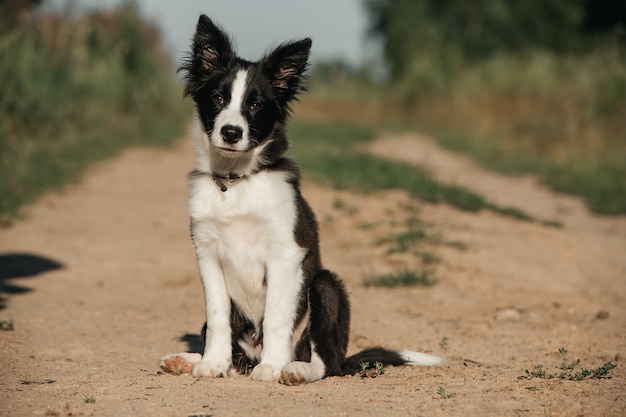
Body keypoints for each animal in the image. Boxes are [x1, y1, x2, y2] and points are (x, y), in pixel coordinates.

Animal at [158, 14, 442, 386]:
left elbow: (277, 316)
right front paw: (211, 363)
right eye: (218, 98)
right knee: (233, 350)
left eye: (256, 105)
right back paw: (190, 360)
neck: (236, 182)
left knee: (325, 362)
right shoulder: (207, 254)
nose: (231, 133)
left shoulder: (285, 253)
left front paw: (271, 367)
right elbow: (218, 315)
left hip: (325, 286)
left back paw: (294, 368)